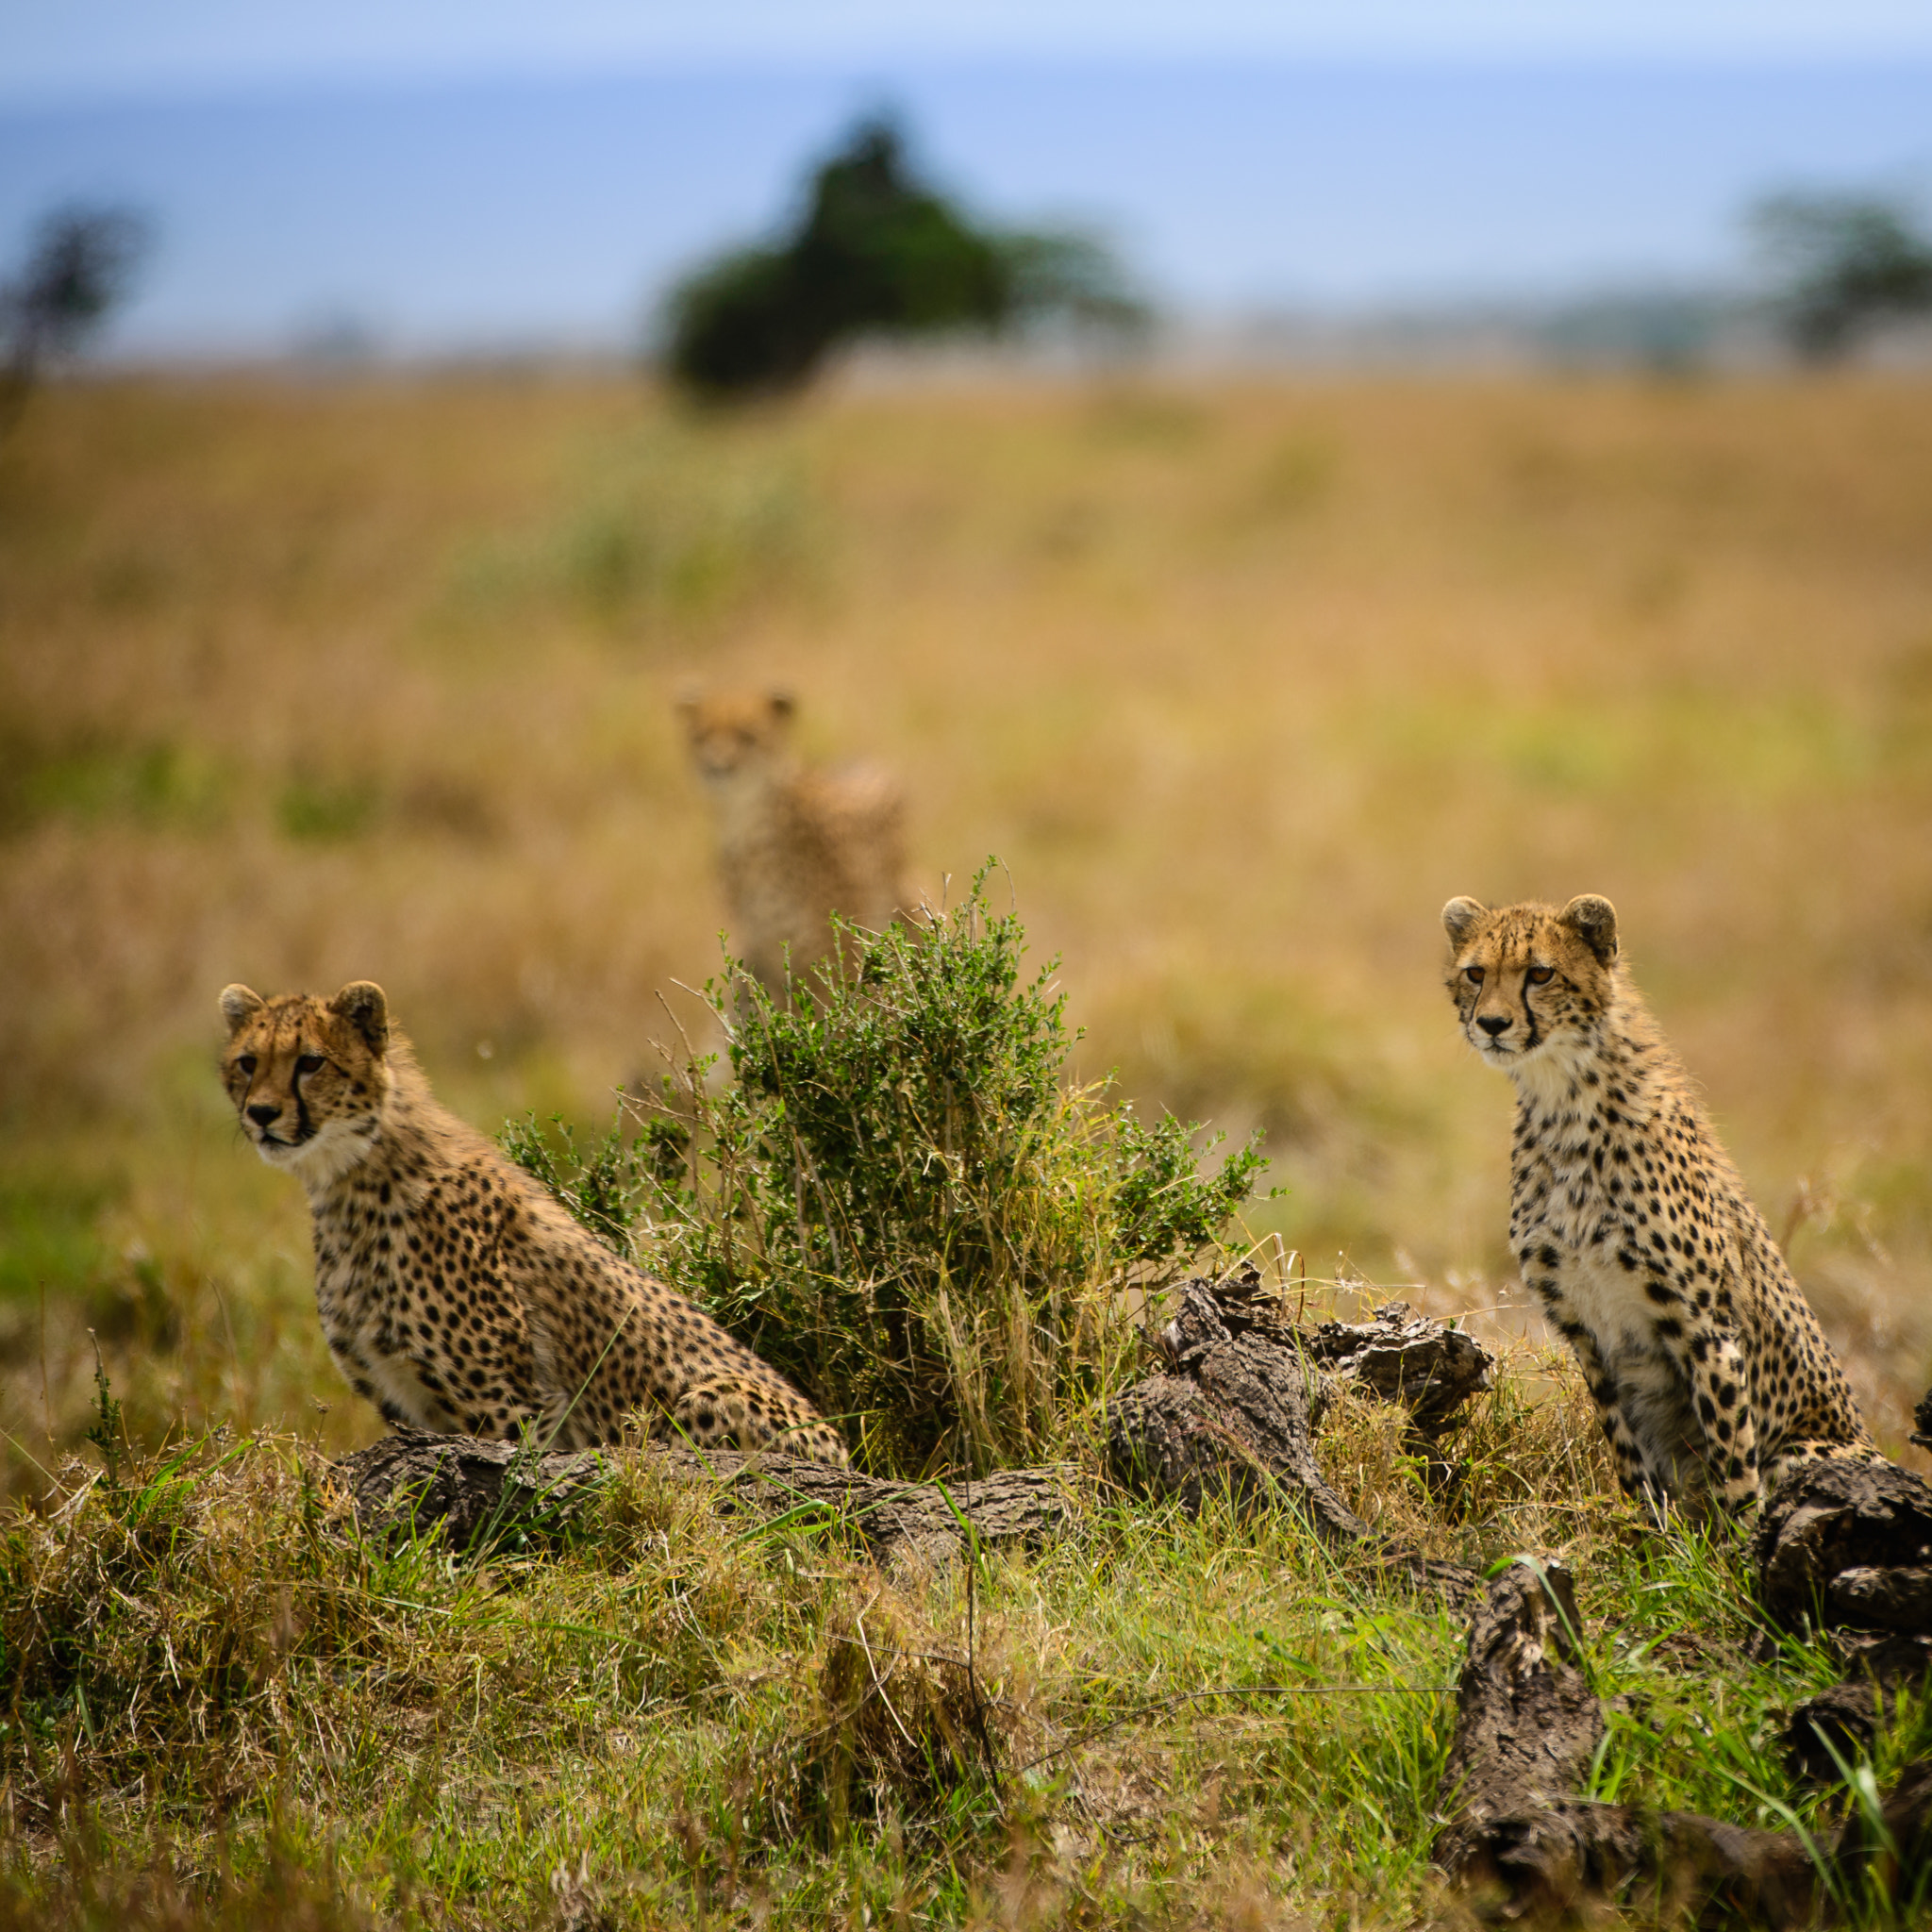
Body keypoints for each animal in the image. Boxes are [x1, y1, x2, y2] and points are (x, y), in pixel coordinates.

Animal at [219, 981, 846, 1460]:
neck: (352, 1179)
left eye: (311, 1062)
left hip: (708, 1397)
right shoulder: (407, 1409)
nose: (262, 1114)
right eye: (248, 1063)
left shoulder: (509, 1410)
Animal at [679, 688, 911, 996]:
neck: (745, 824)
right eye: (700, 737)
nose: (716, 767)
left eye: (748, 736)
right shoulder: (770, 956)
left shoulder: (840, 948)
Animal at [1444, 896, 1877, 1514]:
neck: (1564, 1101)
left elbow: (1734, 1467)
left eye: (1541, 973)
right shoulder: (1589, 1336)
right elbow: (1632, 1463)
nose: (1493, 1024)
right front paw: (1651, 1536)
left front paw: (1738, 1543)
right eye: (1476, 973)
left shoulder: (1707, 1332)